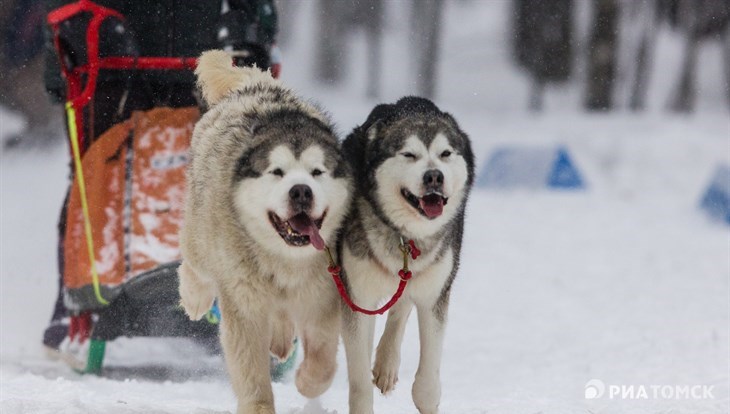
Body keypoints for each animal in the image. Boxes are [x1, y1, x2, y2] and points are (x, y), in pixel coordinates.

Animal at [181, 51, 352, 414]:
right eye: (277, 172)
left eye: (317, 172)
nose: (301, 191)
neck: (284, 261)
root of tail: (255, 83)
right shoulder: (243, 305)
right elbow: (251, 372)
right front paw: (258, 405)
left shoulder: (323, 298)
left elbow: (323, 360)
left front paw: (307, 381)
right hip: (202, 238)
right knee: (193, 265)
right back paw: (195, 297)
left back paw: (281, 339)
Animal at [340, 98, 474, 414]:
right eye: (409, 154)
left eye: (445, 153)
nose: (434, 175)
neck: (405, 237)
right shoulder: (357, 295)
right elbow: (359, 381)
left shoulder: (434, 295)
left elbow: (427, 385)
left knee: (400, 306)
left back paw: (387, 363)